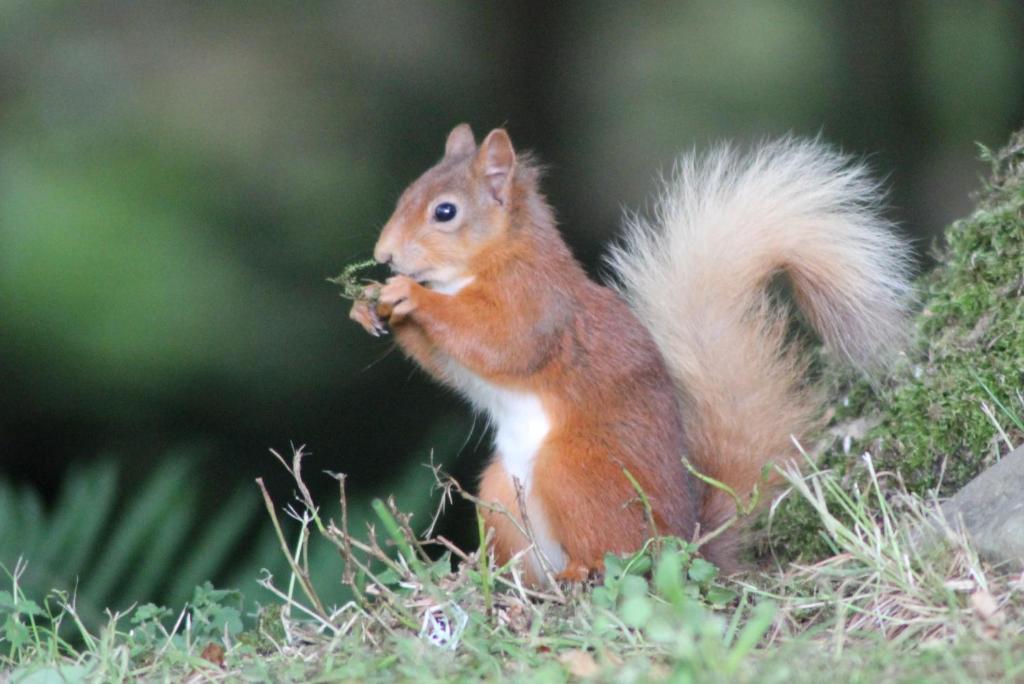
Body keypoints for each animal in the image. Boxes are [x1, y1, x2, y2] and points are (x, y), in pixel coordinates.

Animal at [348, 125, 909, 585]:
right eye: (406, 194)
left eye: (445, 212)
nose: (382, 255)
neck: (493, 259)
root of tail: (687, 544)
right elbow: (448, 364)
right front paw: (366, 304)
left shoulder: (537, 306)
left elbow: (500, 343)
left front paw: (409, 295)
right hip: (499, 493)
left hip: (574, 470)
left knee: (614, 551)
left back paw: (583, 570)